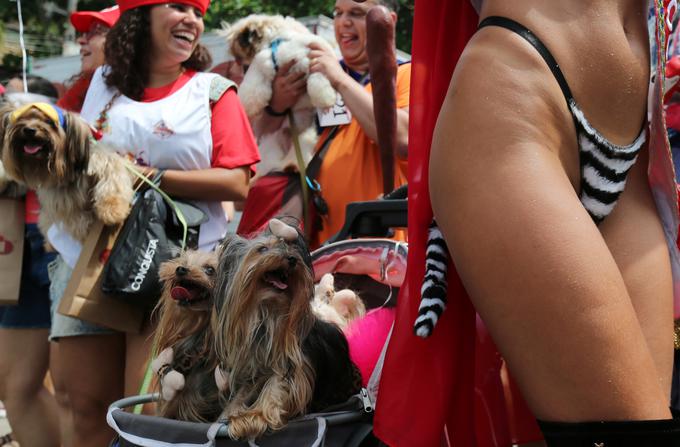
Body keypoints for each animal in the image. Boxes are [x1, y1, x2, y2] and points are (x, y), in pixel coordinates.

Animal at [0, 103, 132, 243]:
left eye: (49, 122)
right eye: (22, 118)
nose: (29, 130)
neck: (67, 169)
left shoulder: (105, 160)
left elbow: (112, 180)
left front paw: (112, 210)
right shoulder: (60, 201)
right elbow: (74, 217)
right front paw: (85, 229)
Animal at [224, 14, 338, 178]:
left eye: (238, 48)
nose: (236, 61)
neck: (278, 40)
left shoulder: (315, 60)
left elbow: (318, 81)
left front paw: (325, 99)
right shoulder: (261, 66)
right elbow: (251, 91)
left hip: (304, 141)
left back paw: (292, 167)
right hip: (272, 145)